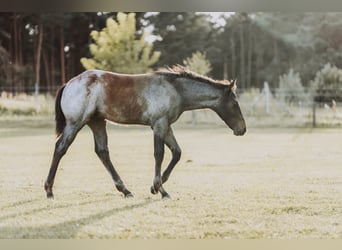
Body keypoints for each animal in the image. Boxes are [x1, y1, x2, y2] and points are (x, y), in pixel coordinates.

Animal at [44, 65, 246, 199]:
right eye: (235, 103)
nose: (242, 129)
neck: (176, 90)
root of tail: (68, 84)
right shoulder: (159, 124)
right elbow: (159, 154)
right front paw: (161, 190)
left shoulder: (166, 125)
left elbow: (177, 152)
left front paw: (155, 186)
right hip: (76, 123)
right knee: (61, 147)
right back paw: (49, 190)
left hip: (97, 122)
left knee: (102, 152)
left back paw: (125, 190)